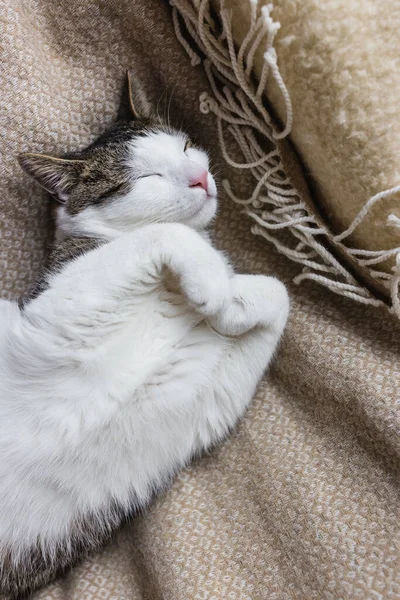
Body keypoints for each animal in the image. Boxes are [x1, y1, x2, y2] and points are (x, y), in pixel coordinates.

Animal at [0, 75, 290, 600]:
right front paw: (214, 288)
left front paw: (231, 305)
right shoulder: (52, 316)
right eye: (147, 178)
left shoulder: (206, 409)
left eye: (185, 146)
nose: (200, 176)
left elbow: (279, 292)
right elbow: (169, 235)